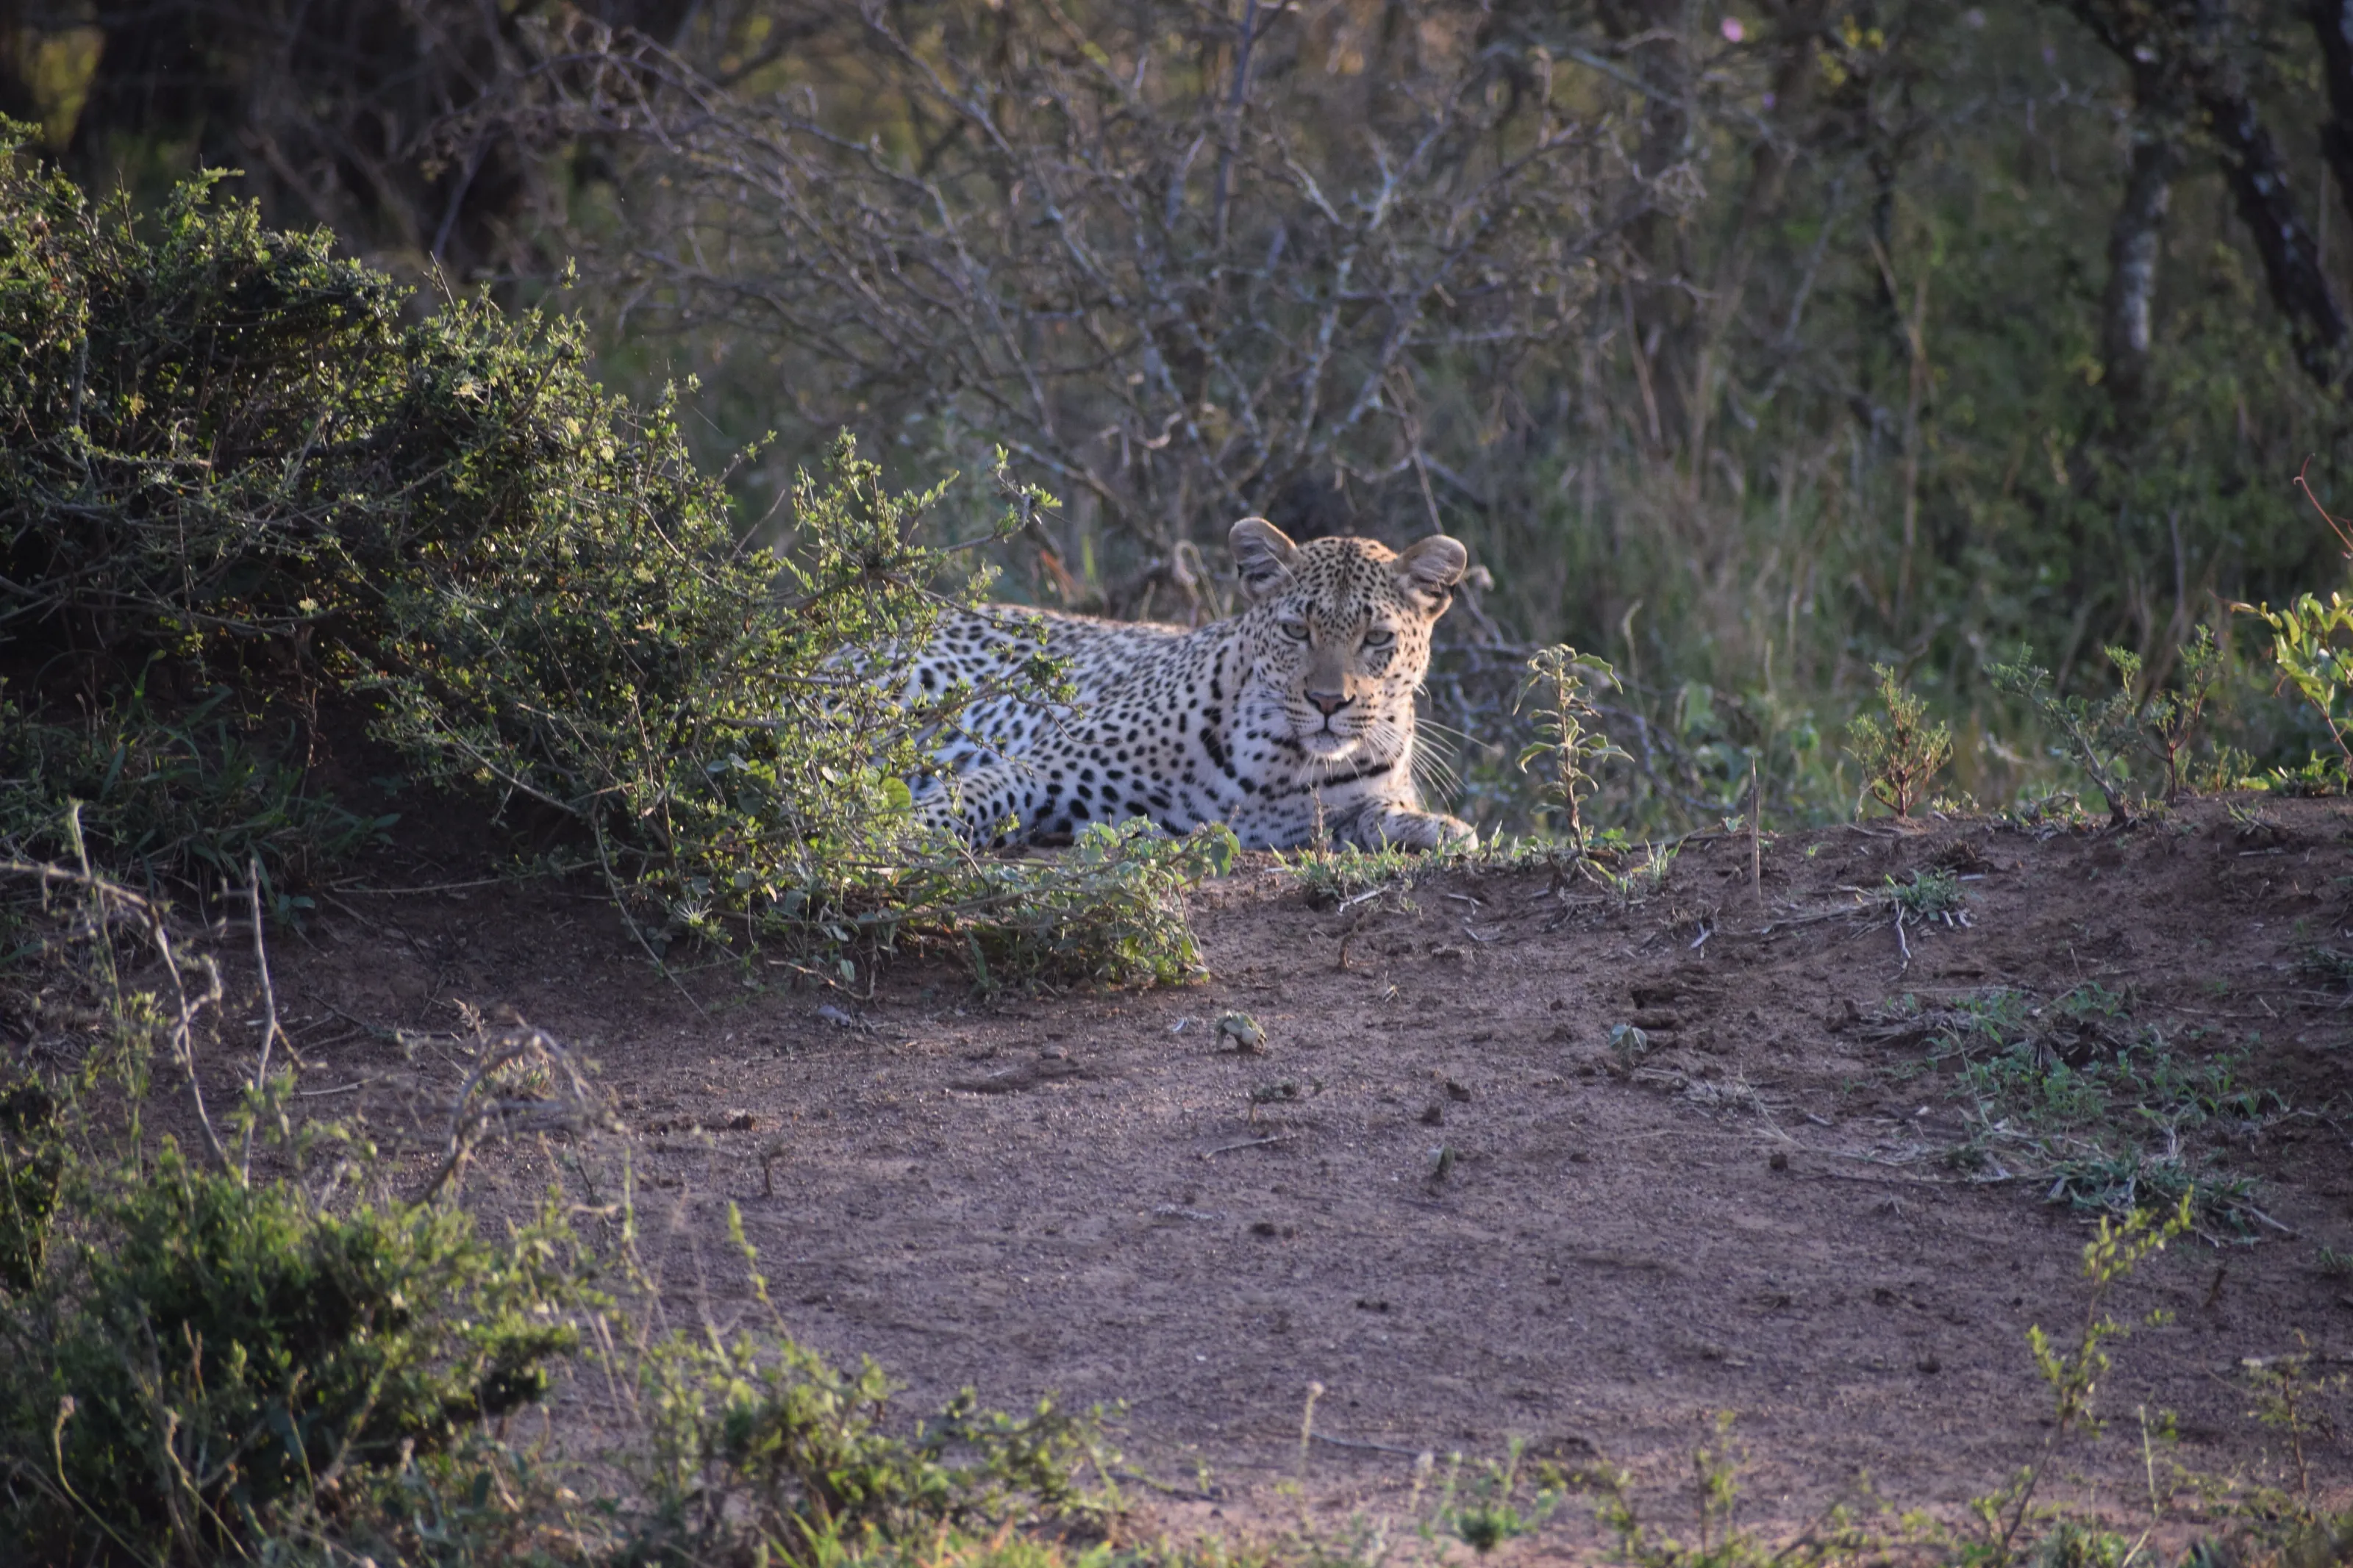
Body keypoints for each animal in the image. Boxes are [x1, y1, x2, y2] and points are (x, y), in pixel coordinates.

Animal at [901, 516, 1475, 852]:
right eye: (1296, 630)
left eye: (1377, 638)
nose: (1329, 702)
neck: (1279, 768)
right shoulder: (1041, 768)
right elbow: (968, 796)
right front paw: (901, 830)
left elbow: (1384, 813)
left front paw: (1440, 830)